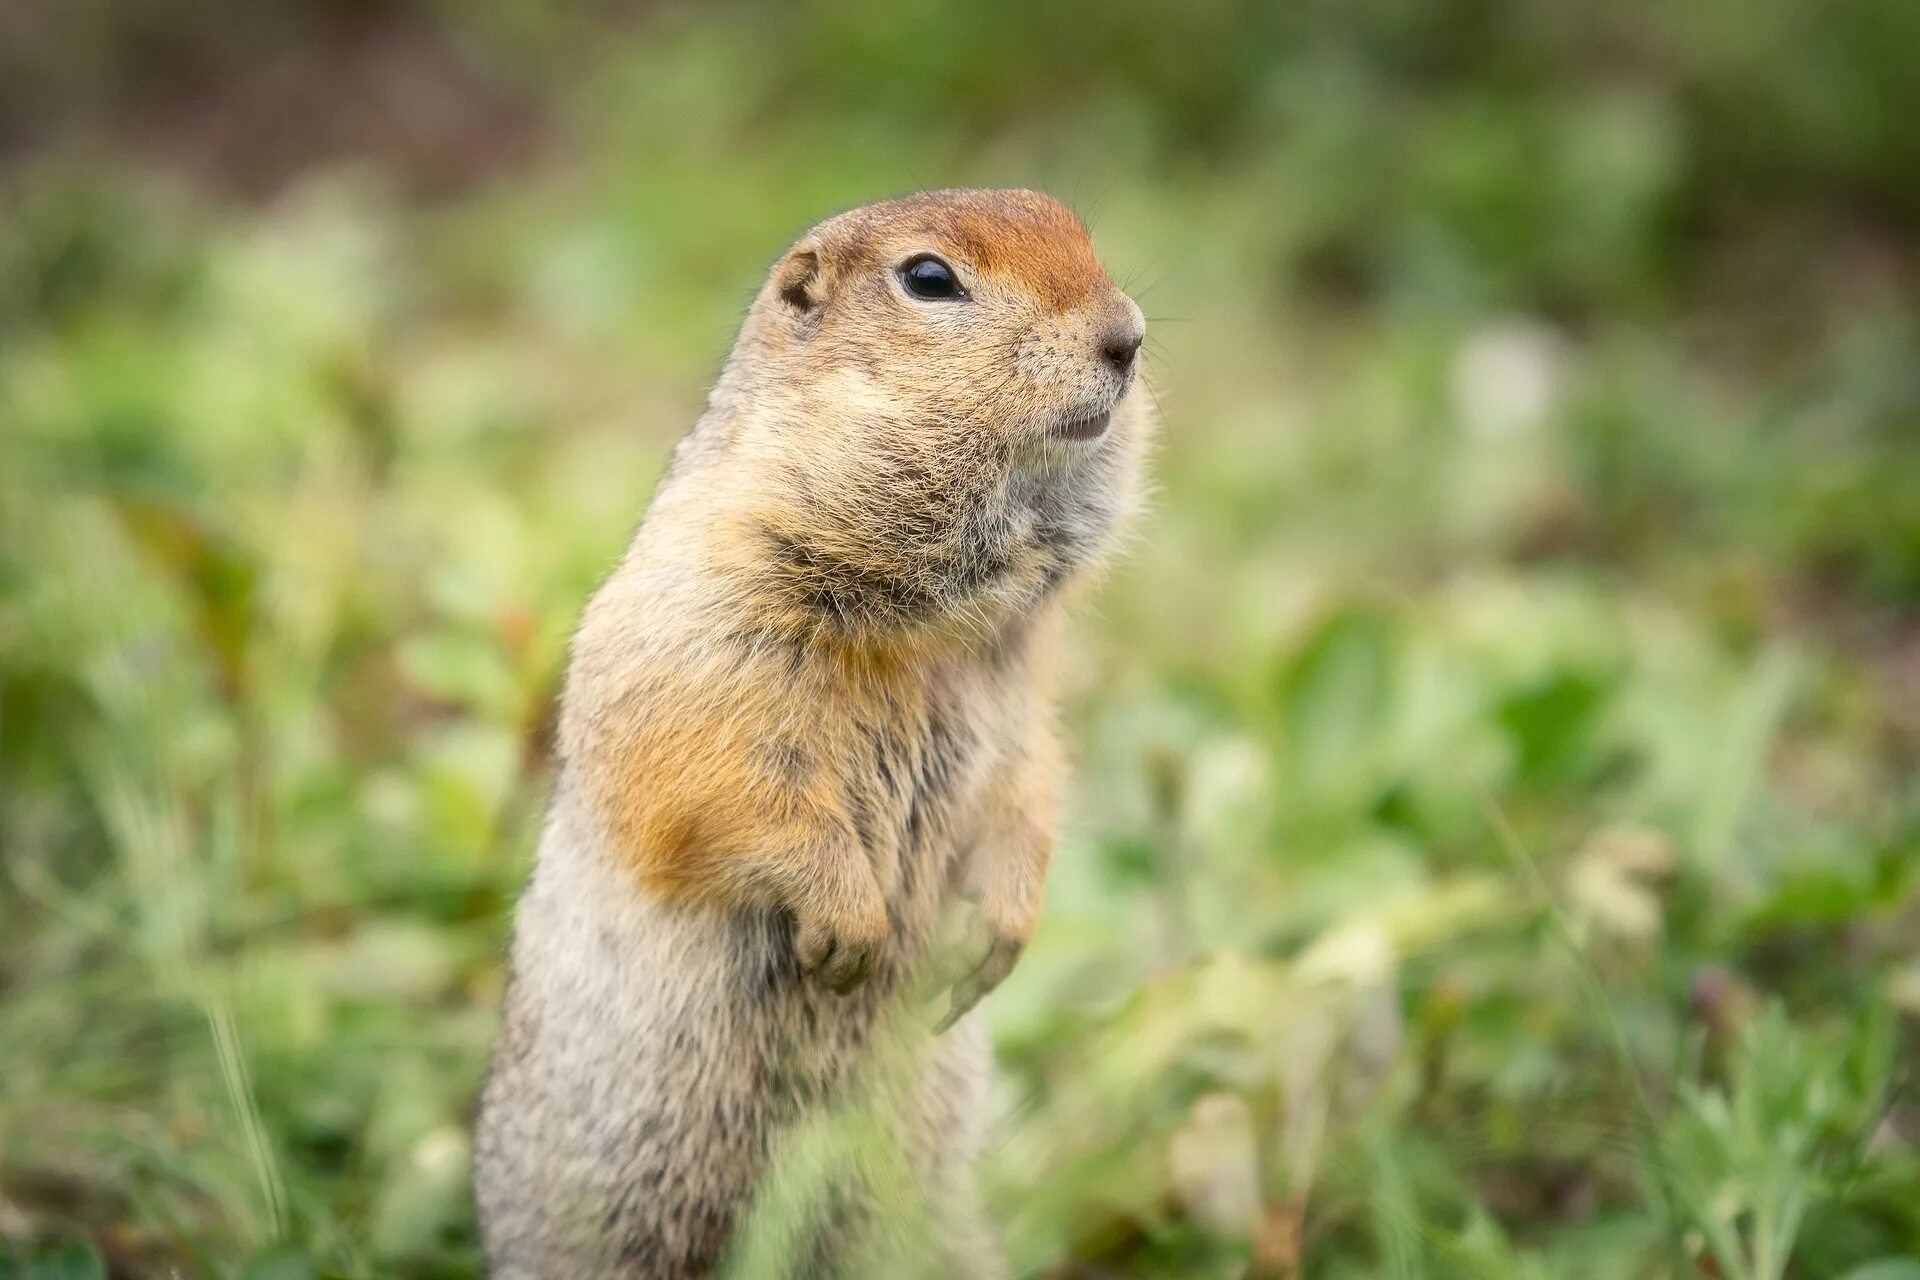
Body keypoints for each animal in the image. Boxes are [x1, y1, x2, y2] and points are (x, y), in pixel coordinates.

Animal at [472, 189, 1144, 1280]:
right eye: (929, 278)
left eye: (1079, 229)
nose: (1128, 337)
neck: (931, 623)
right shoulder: (706, 620)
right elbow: (723, 782)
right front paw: (850, 928)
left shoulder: (1018, 694)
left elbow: (1029, 786)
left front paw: (995, 935)